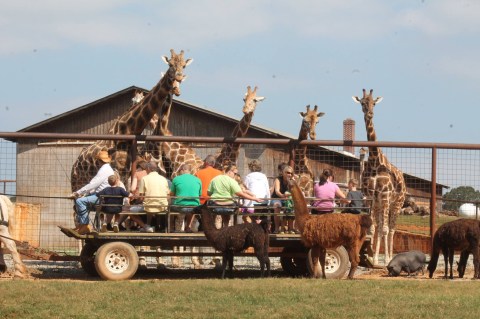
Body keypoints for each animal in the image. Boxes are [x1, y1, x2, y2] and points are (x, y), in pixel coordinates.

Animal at [70, 48, 193, 191]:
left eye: (183, 66)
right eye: (170, 64)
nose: (178, 78)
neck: (128, 130)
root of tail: (75, 163)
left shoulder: (128, 171)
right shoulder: (119, 170)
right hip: (77, 182)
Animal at [352, 89, 404, 266]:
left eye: (373, 102)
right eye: (362, 102)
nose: (370, 113)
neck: (375, 161)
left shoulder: (385, 195)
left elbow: (386, 229)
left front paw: (386, 259)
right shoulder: (371, 197)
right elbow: (374, 228)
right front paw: (372, 258)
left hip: (396, 204)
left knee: (392, 229)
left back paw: (390, 257)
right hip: (381, 205)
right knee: (381, 226)